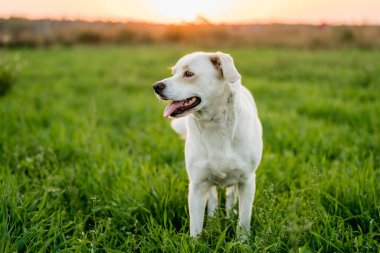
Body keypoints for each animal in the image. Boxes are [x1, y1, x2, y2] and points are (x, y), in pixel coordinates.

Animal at [153, 51, 262, 237]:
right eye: (173, 72)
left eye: (188, 74)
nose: (156, 86)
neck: (214, 125)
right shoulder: (197, 185)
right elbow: (195, 227)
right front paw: (197, 239)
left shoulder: (247, 181)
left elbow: (243, 221)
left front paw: (242, 240)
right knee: (212, 199)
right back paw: (213, 222)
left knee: (230, 195)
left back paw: (229, 215)